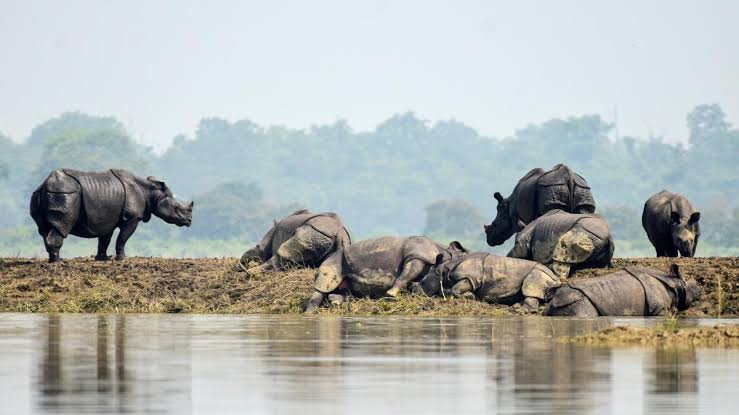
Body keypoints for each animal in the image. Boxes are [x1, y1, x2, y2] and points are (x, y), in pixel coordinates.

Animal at [30, 169, 193, 262]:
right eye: (177, 207)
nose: (189, 221)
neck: (151, 192)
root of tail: (45, 184)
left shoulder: (106, 218)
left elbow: (104, 239)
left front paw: (102, 259)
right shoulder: (132, 218)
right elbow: (123, 238)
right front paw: (122, 259)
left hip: (41, 194)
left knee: (44, 229)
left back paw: (53, 260)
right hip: (64, 194)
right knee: (61, 226)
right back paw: (59, 262)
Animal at [304, 236, 468, 312]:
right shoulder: (417, 255)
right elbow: (407, 273)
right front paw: (391, 294)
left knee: (345, 290)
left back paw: (335, 301)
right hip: (333, 260)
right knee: (324, 285)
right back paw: (309, 312)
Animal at [411, 252, 561, 312]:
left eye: (423, 282)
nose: (413, 292)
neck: (443, 270)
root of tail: (557, 279)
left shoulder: (471, 278)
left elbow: (456, 289)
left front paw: (472, 297)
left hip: (539, 273)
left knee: (530, 286)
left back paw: (520, 310)